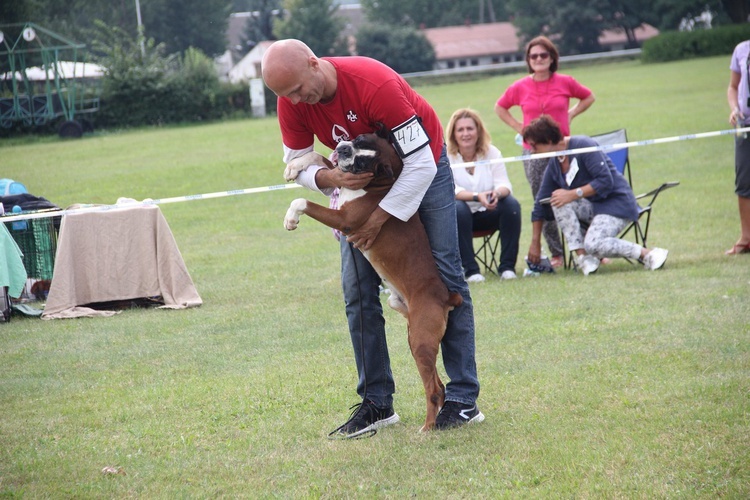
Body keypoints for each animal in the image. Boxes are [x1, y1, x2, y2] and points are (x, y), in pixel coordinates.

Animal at [284, 128, 464, 430]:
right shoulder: (338, 177)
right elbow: (319, 160)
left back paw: (428, 428)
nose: (344, 149)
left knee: (433, 390)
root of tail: (446, 295)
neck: (379, 183)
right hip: (414, 338)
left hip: (421, 341)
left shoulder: (344, 219)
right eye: (359, 141)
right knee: (438, 385)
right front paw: (295, 166)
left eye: (362, 163)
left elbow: (303, 202)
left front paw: (291, 217)